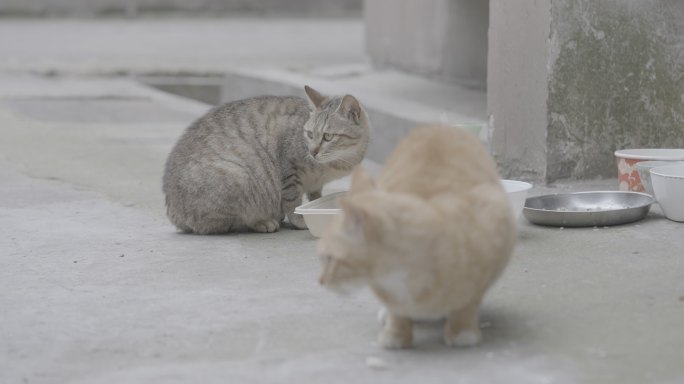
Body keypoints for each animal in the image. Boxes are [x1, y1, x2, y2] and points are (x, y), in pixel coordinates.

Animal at [318, 125, 516, 348]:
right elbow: (396, 308)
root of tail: (438, 126)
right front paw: (396, 334)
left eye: (329, 258)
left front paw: (462, 332)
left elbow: (468, 303)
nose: (320, 281)